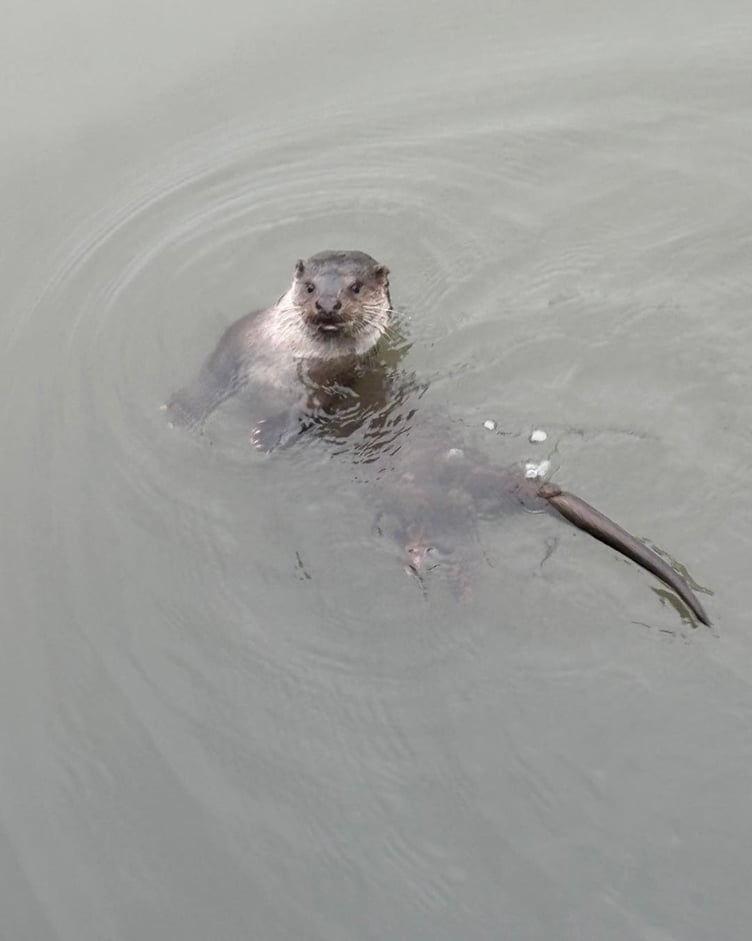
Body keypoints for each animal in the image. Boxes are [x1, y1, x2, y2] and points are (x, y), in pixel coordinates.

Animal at [166, 249, 710, 625]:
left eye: (355, 286)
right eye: (310, 284)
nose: (327, 302)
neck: (292, 360)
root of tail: (495, 475)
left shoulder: (336, 387)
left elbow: (306, 413)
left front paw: (266, 434)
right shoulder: (241, 339)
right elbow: (212, 376)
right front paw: (180, 412)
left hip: (438, 504)